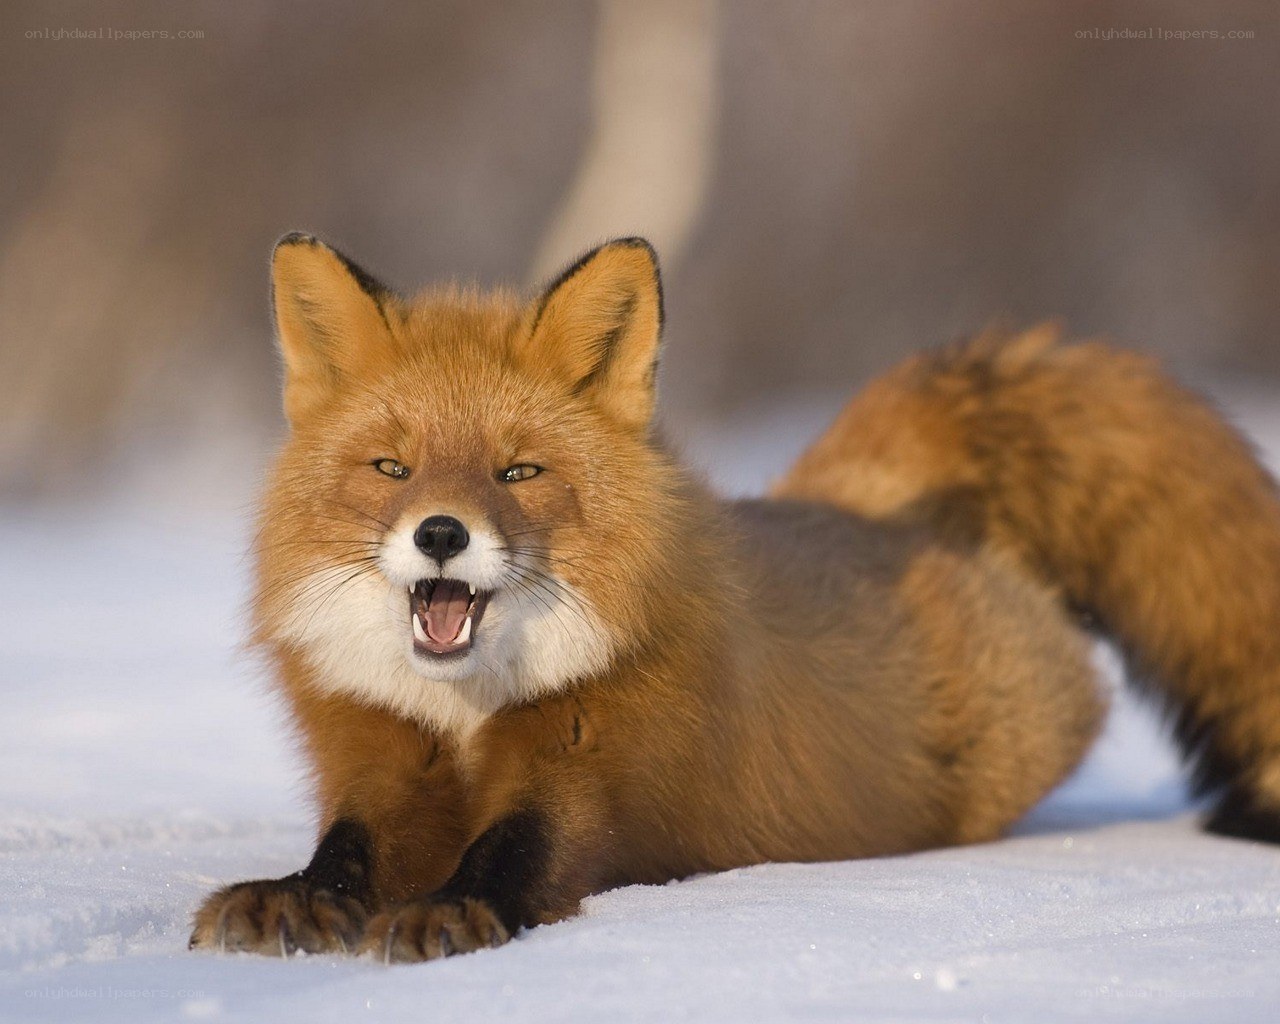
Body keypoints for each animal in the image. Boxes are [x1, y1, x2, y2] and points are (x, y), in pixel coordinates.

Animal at [190, 233, 1280, 962]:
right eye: (392, 467)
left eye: (517, 472)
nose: (442, 533)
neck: (463, 714)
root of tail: (853, 504)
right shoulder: (377, 754)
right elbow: (348, 847)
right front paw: (294, 896)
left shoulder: (594, 766)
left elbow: (517, 850)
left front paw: (455, 910)